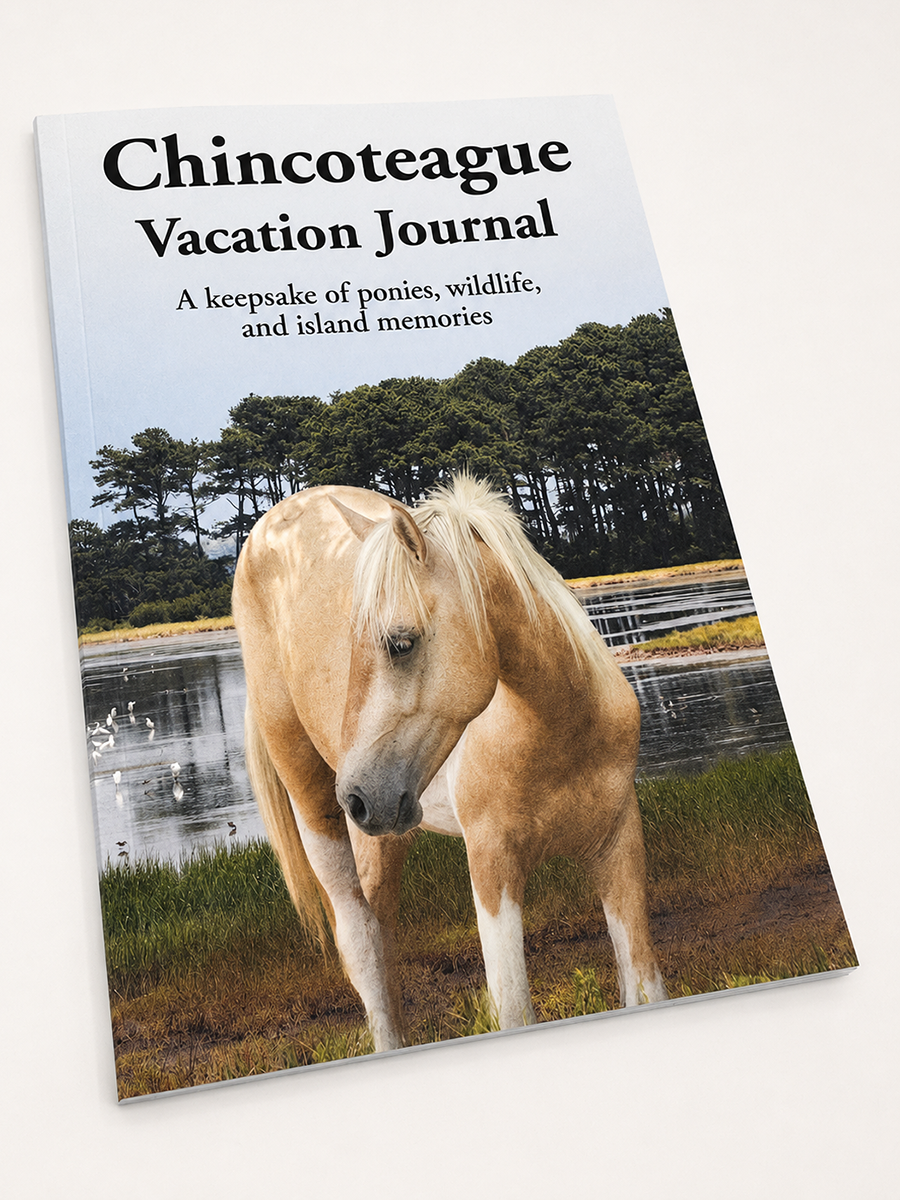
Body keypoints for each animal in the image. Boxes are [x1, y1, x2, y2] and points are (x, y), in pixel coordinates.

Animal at [231, 475, 667, 1052]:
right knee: (360, 940)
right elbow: (513, 1010)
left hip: (385, 831)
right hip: (315, 804)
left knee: (380, 928)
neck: (561, 725)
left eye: (399, 643)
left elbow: (644, 986)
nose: (357, 797)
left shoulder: (618, 845)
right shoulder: (491, 863)